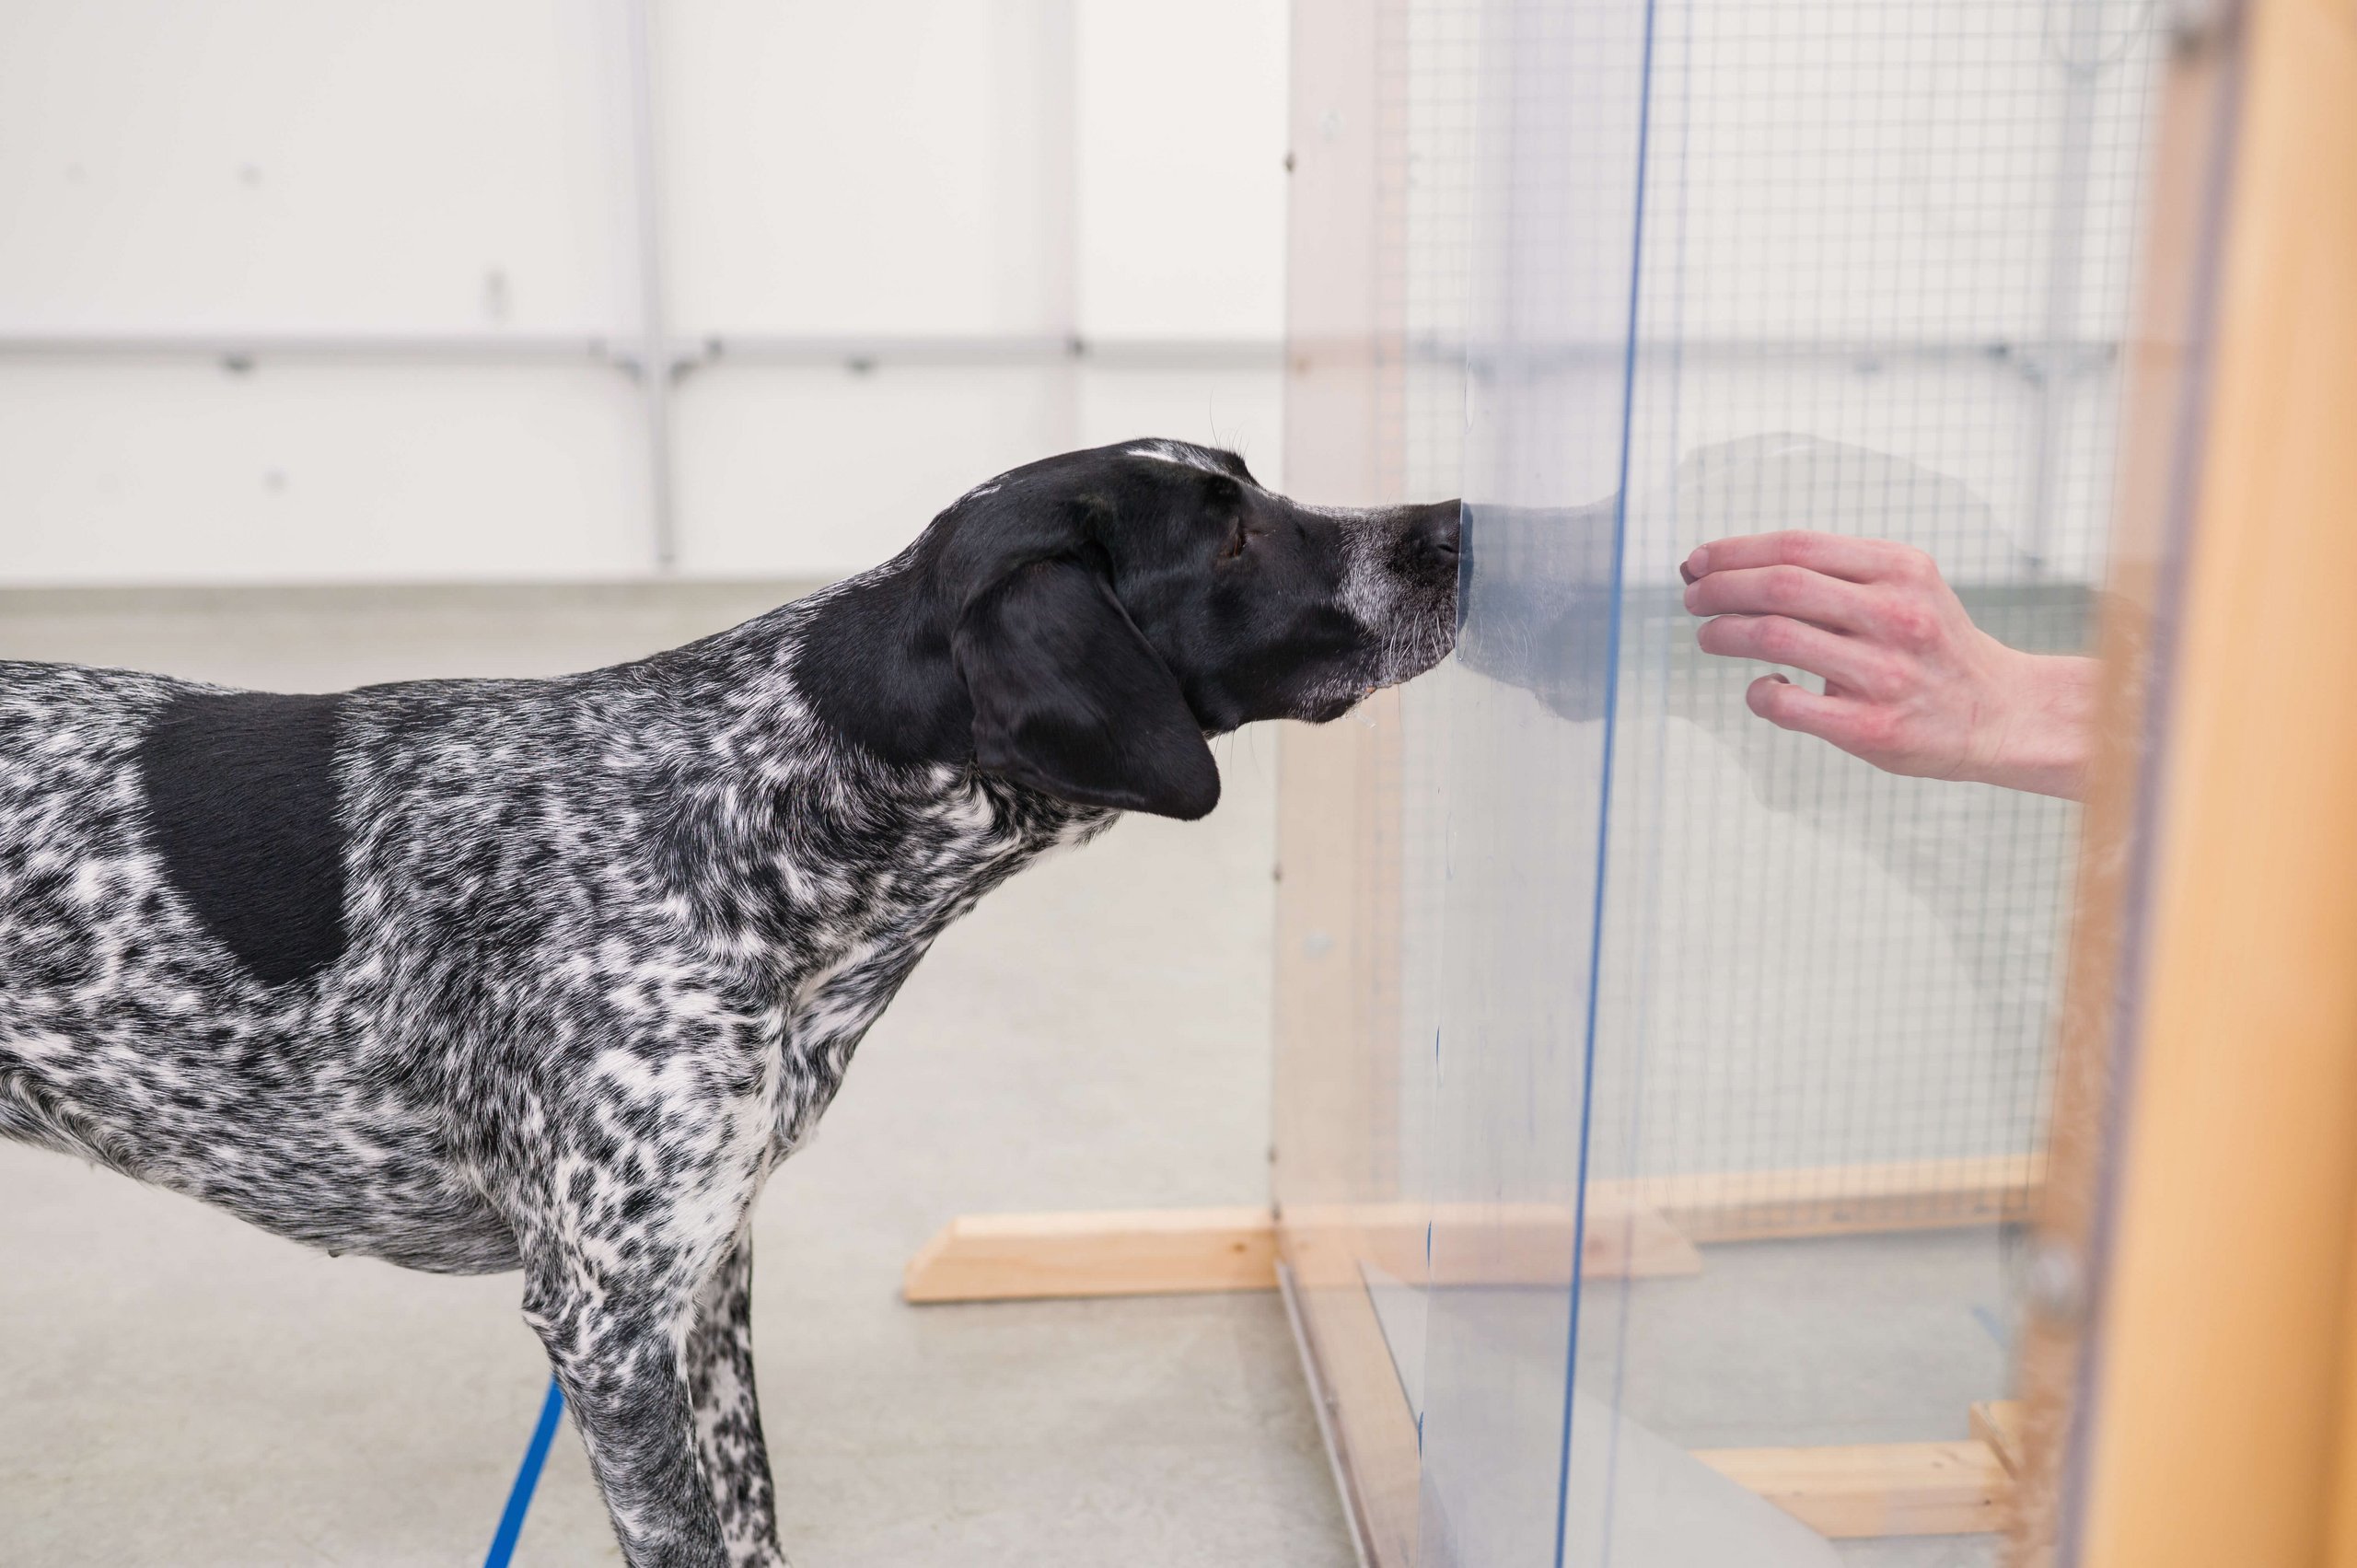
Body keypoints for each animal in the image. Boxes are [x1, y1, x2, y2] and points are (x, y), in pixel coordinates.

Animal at [0, 436, 1461, 1565]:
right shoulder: (607, 1323)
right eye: (1229, 539)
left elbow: (752, 1518)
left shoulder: (703, 1276)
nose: (1453, 523)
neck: (755, 809)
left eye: (1253, 488)